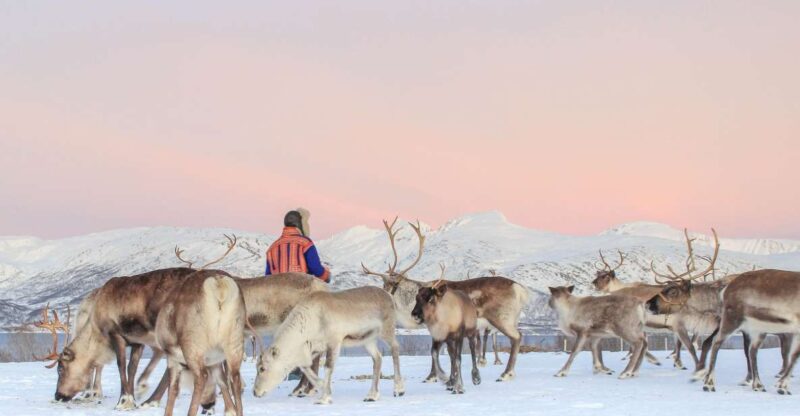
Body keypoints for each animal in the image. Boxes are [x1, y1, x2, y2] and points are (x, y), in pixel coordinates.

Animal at [253, 286, 405, 404]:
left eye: (262, 368)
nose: (255, 392)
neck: (311, 320)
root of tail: (389, 295)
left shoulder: (334, 342)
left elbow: (327, 367)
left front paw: (324, 397)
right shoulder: (314, 348)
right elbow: (306, 367)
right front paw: (321, 387)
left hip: (386, 331)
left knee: (395, 348)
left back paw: (399, 389)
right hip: (367, 340)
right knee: (377, 358)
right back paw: (372, 395)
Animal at [411, 264, 481, 394]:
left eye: (431, 299)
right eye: (417, 297)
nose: (415, 314)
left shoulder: (459, 335)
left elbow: (458, 359)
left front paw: (459, 387)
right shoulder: (440, 337)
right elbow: (435, 354)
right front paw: (445, 378)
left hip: (471, 332)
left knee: (473, 350)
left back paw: (475, 377)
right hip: (451, 340)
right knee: (451, 356)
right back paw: (451, 381)